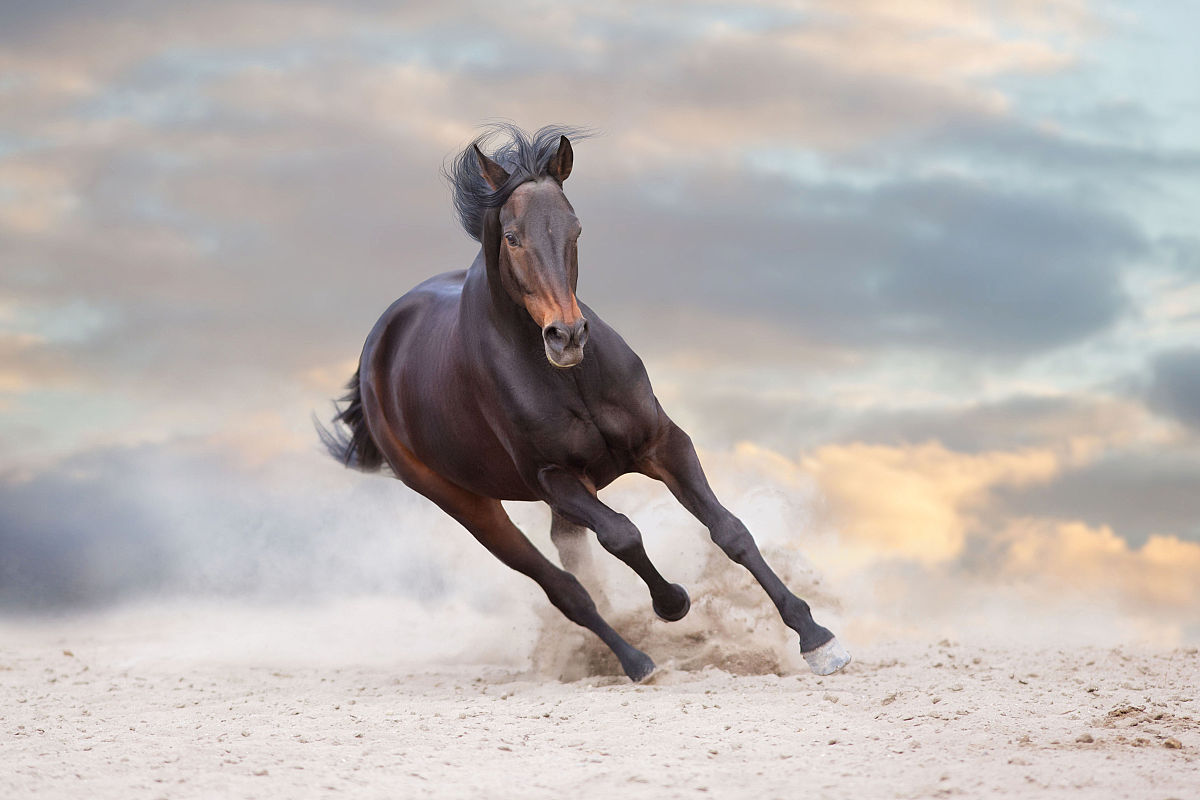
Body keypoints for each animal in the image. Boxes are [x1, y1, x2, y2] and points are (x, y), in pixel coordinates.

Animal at [317, 124, 850, 681]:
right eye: (512, 237)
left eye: (575, 230)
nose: (567, 336)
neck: (568, 379)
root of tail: (379, 348)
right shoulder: (554, 479)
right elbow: (622, 535)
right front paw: (671, 602)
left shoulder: (664, 443)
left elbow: (730, 530)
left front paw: (817, 638)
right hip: (468, 504)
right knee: (565, 589)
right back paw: (635, 660)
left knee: (574, 562)